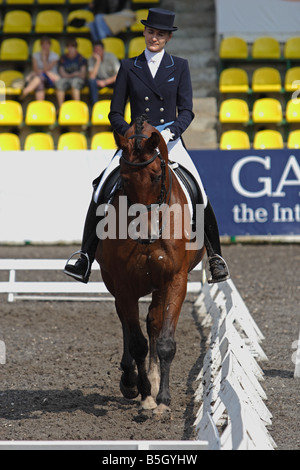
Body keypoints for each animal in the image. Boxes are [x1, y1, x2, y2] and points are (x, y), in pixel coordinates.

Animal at [96, 115, 206, 416]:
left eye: (157, 175)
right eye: (123, 179)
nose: (145, 234)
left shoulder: (175, 279)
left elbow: (165, 340)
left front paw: (163, 398)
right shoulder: (123, 284)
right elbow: (136, 343)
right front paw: (144, 392)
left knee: (154, 321)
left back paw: (154, 383)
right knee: (126, 321)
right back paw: (131, 381)